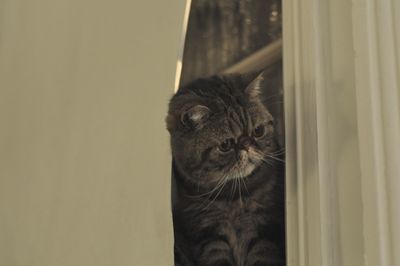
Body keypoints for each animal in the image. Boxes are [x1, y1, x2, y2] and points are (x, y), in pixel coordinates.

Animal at [166, 72, 284, 266]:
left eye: (258, 131)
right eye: (226, 145)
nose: (247, 145)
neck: (232, 196)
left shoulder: (266, 224)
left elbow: (262, 256)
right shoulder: (208, 232)